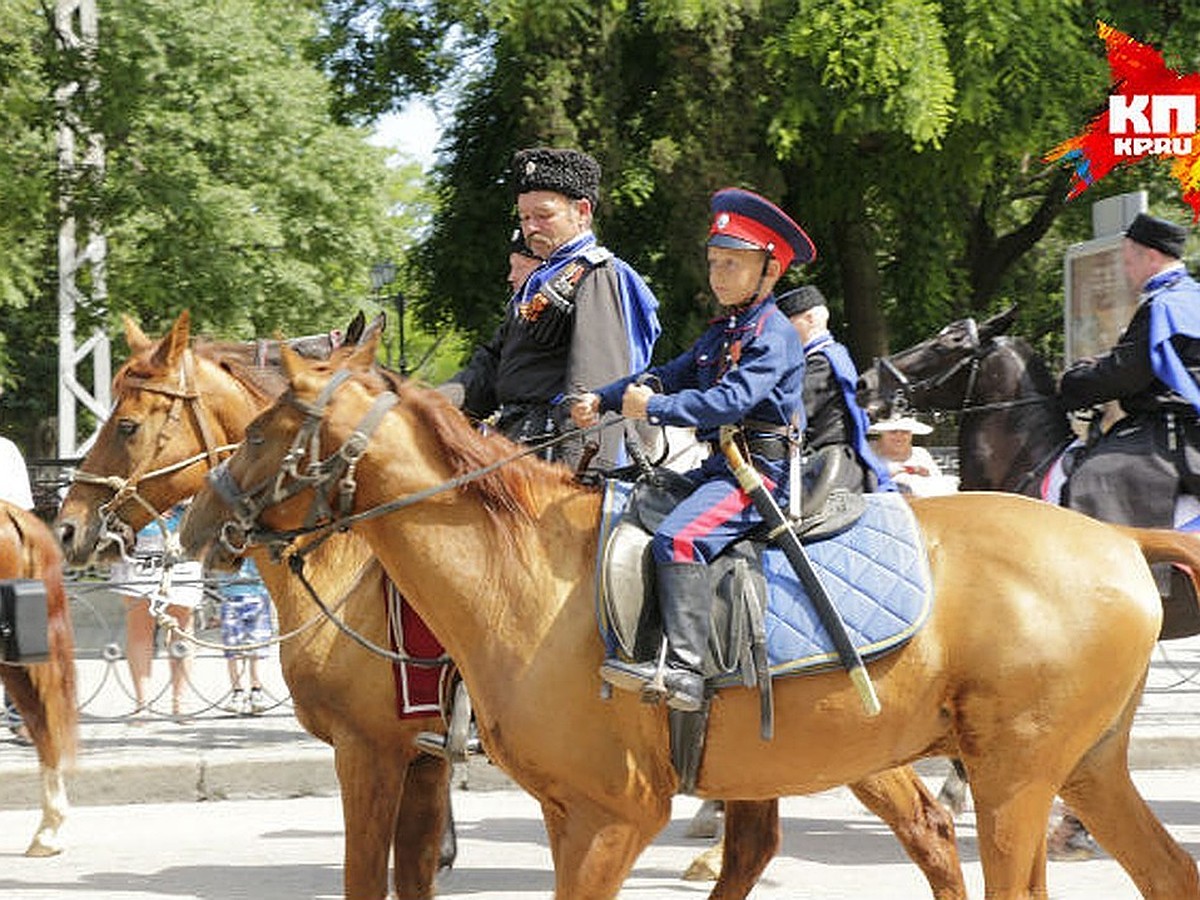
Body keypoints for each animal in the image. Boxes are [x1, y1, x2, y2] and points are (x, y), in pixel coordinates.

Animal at [182, 338, 1200, 900]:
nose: (194, 525)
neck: (520, 575)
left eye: (267, 428)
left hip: (1014, 778)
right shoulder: (548, 806)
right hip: (1080, 769)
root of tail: (1119, 541)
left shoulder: (604, 811)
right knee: (1163, 874)